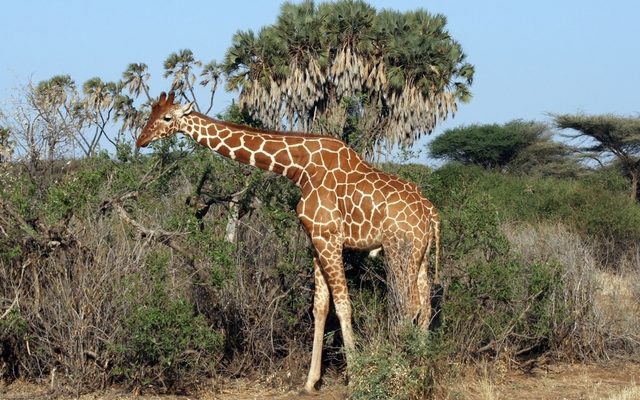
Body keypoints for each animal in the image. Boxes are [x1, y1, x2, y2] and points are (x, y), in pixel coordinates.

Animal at [136, 92, 441, 393]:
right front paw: (310, 382)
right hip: (421, 255)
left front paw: (355, 377)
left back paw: (402, 372)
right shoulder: (316, 242)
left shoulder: (328, 238)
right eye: (150, 114)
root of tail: (431, 213)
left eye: (167, 117)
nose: (141, 140)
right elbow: (320, 307)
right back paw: (421, 372)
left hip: (400, 251)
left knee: (411, 306)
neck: (300, 168)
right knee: (426, 306)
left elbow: (343, 305)